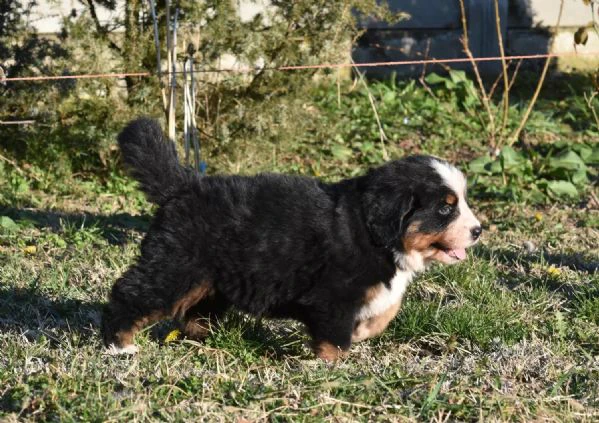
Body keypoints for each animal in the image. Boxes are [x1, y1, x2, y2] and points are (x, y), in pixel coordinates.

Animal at [101, 118, 480, 362]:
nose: (478, 231)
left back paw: (207, 338)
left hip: (211, 281)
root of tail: (183, 186)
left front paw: (363, 332)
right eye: (445, 208)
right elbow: (336, 338)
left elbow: (386, 310)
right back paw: (120, 344)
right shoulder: (332, 295)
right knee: (131, 294)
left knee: (194, 312)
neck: (371, 231)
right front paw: (331, 364)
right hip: (175, 265)